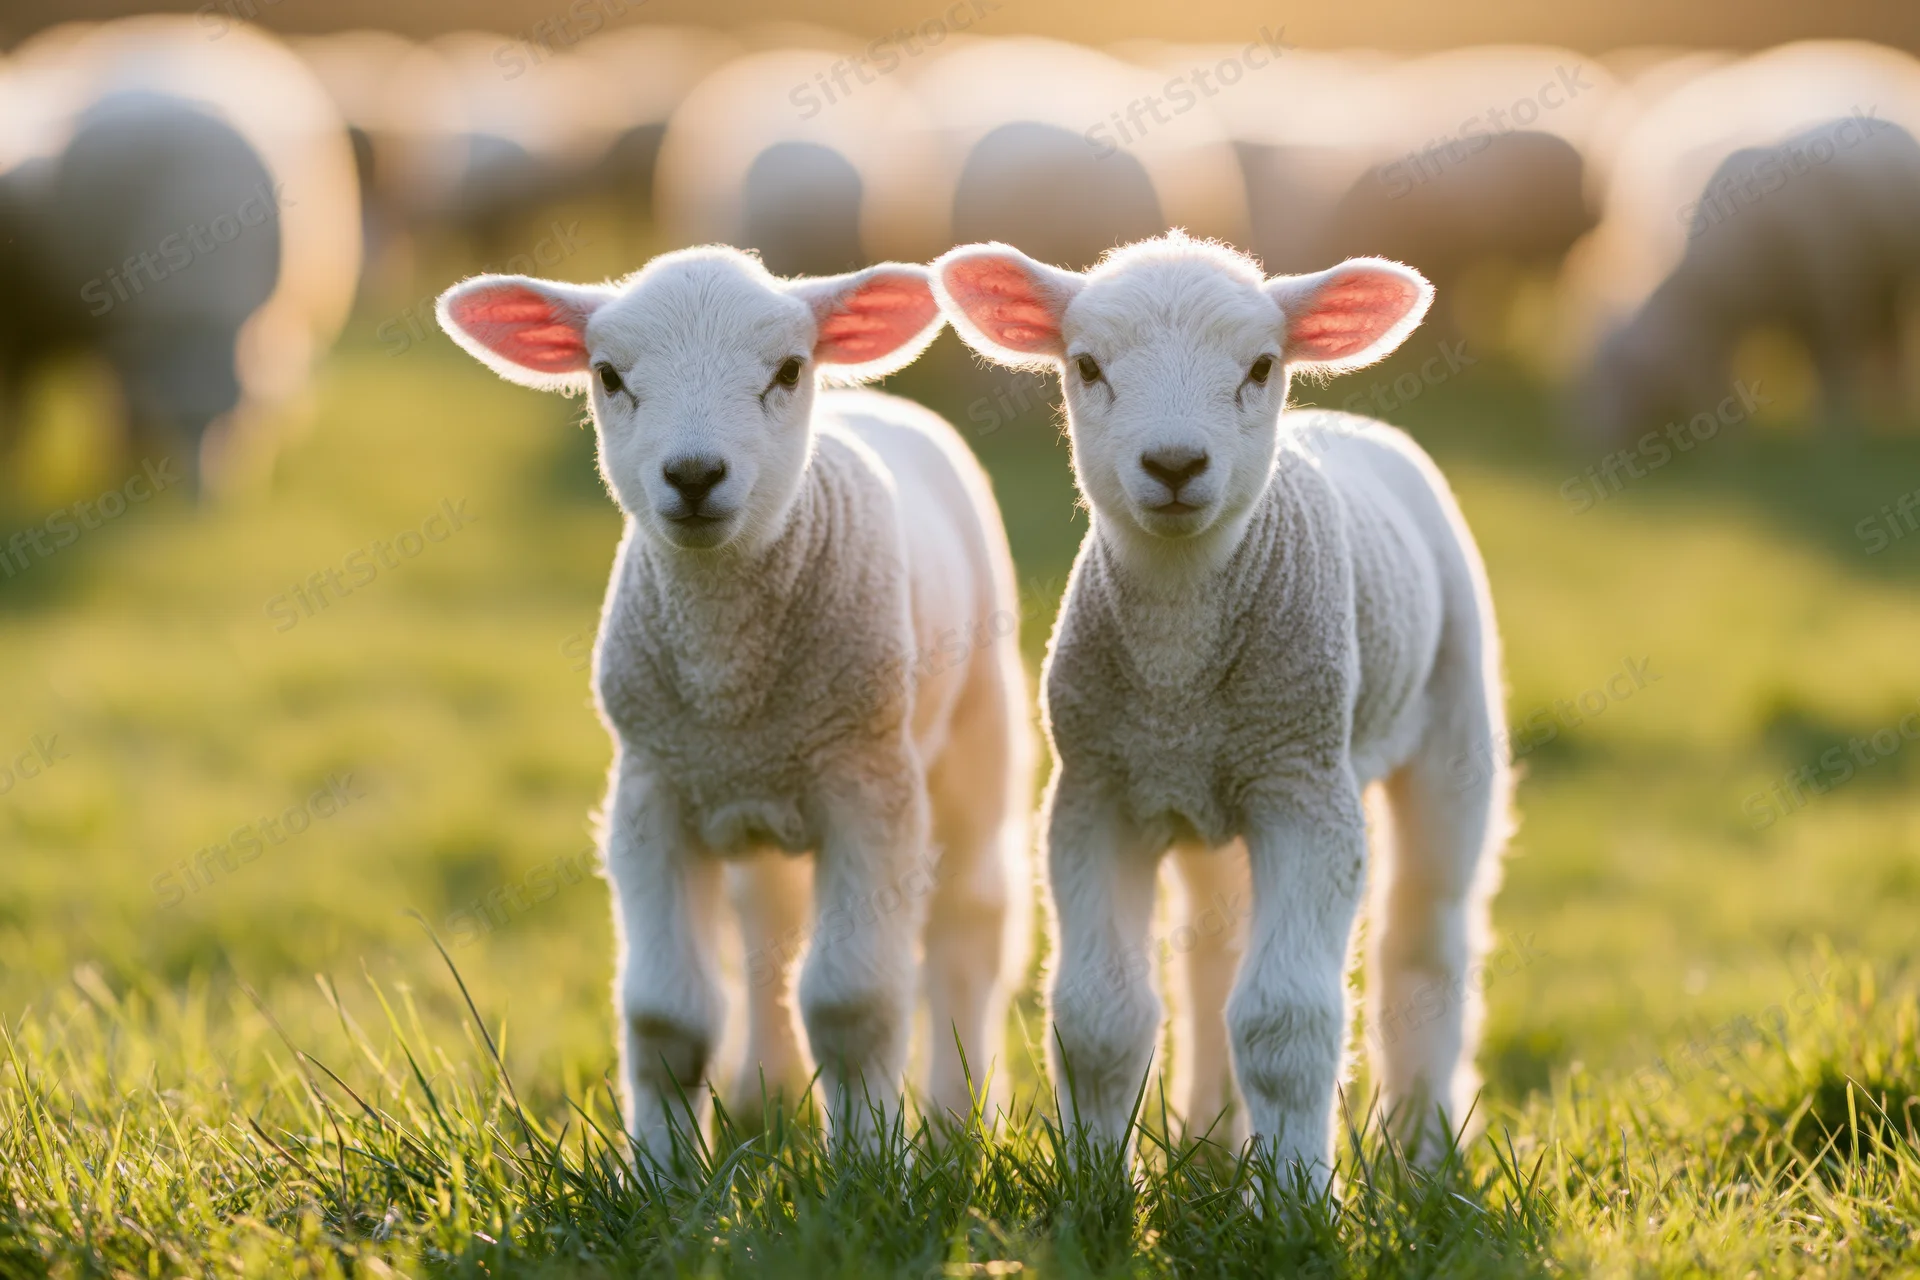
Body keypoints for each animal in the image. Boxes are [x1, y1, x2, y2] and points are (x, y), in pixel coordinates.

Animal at [436, 246, 1033, 1162]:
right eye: (609, 376)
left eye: (788, 370)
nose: (693, 475)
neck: (731, 683)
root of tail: (880, 401)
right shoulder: (652, 794)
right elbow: (667, 1018)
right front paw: (664, 1175)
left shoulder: (870, 787)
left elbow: (854, 1003)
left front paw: (867, 1167)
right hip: (755, 805)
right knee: (767, 929)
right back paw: (767, 1089)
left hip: (976, 731)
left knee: (970, 924)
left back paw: (958, 1115)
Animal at [932, 232, 1511, 1185]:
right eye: (1087, 366)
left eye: (1262, 366)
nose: (1174, 466)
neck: (1178, 666)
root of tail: (1348, 425)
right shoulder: (1096, 793)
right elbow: (1098, 1018)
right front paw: (1097, 1190)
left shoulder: (1305, 792)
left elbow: (1284, 1022)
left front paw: (1293, 1199)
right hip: (1211, 800)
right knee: (1212, 960)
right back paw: (1208, 1136)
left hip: (1453, 727)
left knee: (1426, 940)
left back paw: (1423, 1148)